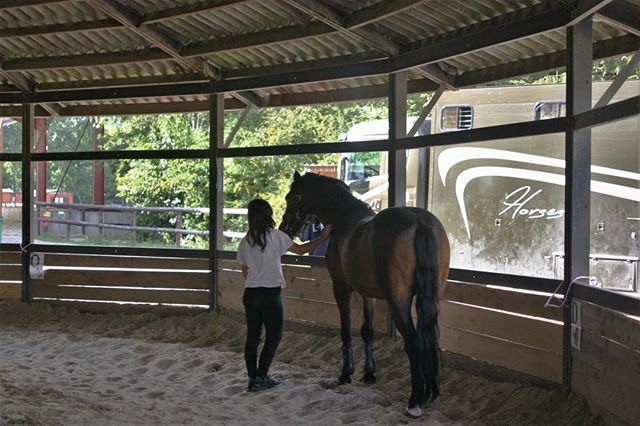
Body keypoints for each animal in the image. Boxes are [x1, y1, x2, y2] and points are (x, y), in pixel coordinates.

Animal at [279, 171, 450, 418]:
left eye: (293, 197)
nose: (284, 228)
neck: (346, 220)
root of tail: (419, 222)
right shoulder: (366, 293)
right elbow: (367, 331)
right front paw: (369, 373)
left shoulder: (341, 288)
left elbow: (346, 329)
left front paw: (345, 373)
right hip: (432, 301)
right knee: (429, 341)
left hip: (399, 303)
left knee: (414, 344)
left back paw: (414, 402)